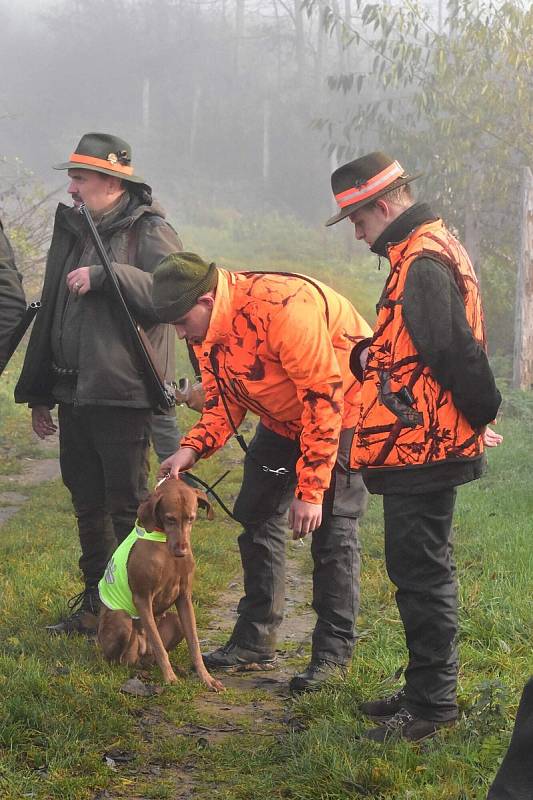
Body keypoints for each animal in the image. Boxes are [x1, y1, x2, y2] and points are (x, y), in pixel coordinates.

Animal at [97, 478, 222, 692]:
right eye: (170, 519)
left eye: (191, 518)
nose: (181, 550)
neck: (164, 544)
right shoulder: (142, 598)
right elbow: (158, 643)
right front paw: (170, 678)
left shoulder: (184, 597)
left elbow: (194, 644)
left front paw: (206, 678)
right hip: (121, 621)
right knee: (120, 660)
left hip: (175, 622)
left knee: (149, 657)